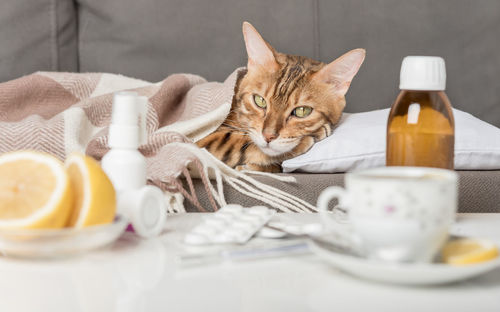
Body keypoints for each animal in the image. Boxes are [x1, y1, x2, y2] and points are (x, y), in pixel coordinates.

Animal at [197, 22, 366, 173]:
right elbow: (241, 143)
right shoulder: (204, 139)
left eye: (302, 111)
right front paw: (312, 135)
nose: (268, 136)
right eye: (260, 101)